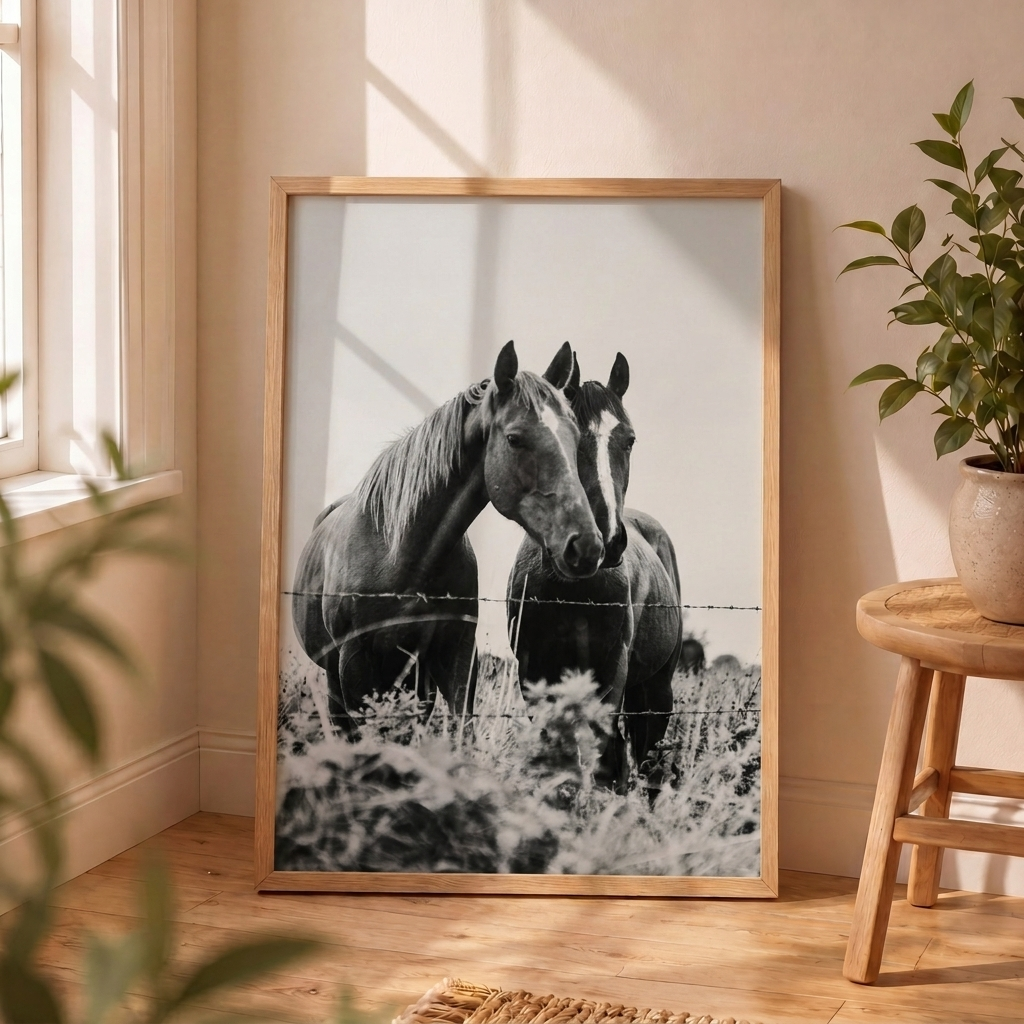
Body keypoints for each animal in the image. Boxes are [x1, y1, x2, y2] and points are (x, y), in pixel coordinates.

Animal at [292, 341, 605, 737]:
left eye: (575, 438)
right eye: (514, 438)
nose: (586, 546)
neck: (400, 554)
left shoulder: (455, 657)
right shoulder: (354, 666)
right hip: (339, 679)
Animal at [507, 352, 682, 794]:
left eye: (629, 440)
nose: (606, 539)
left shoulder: (612, 671)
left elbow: (603, 756)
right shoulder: (534, 672)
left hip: (657, 689)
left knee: (645, 760)